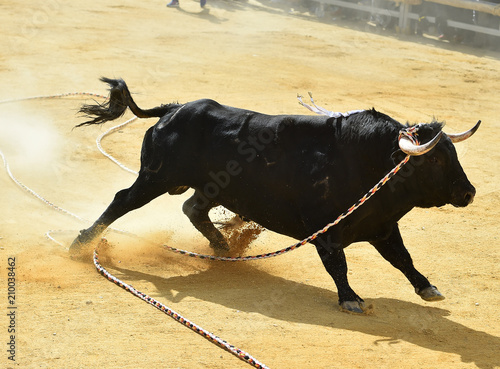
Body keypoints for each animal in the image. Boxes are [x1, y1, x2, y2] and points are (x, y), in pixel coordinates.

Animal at [68, 77, 478, 310]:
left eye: (453, 154)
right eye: (435, 160)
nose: (469, 192)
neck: (368, 162)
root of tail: (176, 108)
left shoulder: (383, 227)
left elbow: (403, 259)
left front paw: (428, 288)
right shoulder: (327, 233)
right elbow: (339, 264)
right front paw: (351, 299)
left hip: (210, 187)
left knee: (193, 208)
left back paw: (223, 247)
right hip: (155, 178)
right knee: (123, 201)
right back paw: (80, 244)